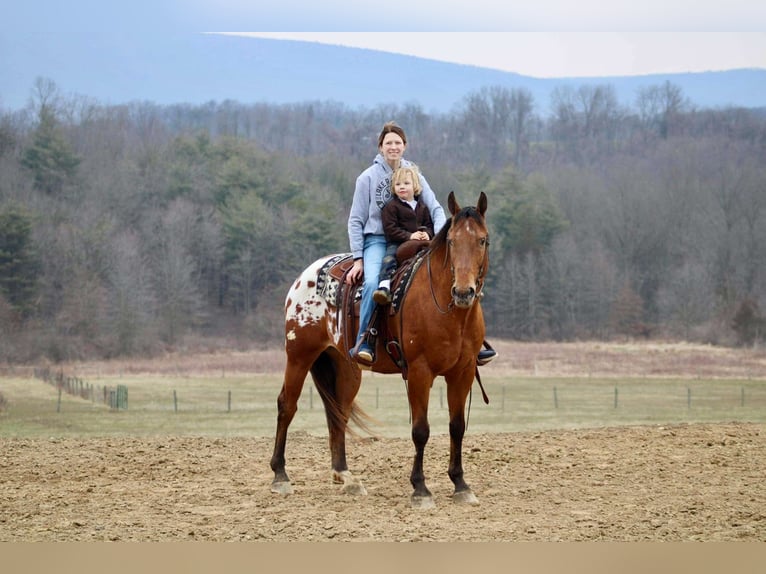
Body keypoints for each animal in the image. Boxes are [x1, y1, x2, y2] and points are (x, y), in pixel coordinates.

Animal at [270, 192, 492, 508]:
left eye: (482, 240)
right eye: (451, 241)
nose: (463, 292)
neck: (450, 313)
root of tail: (305, 276)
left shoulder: (462, 372)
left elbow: (457, 426)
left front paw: (460, 485)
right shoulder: (420, 372)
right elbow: (420, 430)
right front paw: (420, 489)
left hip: (345, 368)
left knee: (338, 412)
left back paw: (345, 476)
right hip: (299, 355)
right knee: (286, 405)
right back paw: (280, 476)